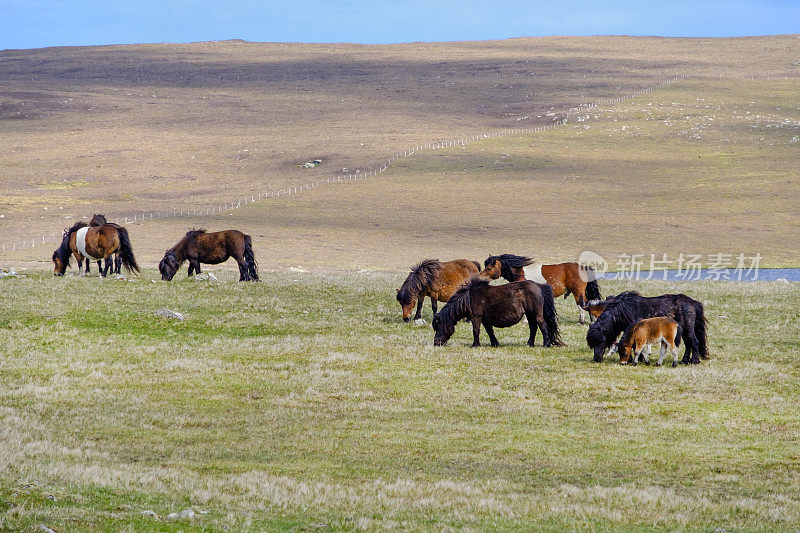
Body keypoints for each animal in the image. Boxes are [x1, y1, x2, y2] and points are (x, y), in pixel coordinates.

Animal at [432, 276, 564, 348]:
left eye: (438, 326)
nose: (436, 343)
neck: (469, 298)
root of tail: (539, 286)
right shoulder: (485, 320)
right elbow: (490, 331)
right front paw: (494, 343)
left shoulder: (476, 317)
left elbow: (476, 331)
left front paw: (475, 345)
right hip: (529, 314)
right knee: (533, 327)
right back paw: (529, 344)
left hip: (536, 314)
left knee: (543, 325)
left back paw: (546, 344)